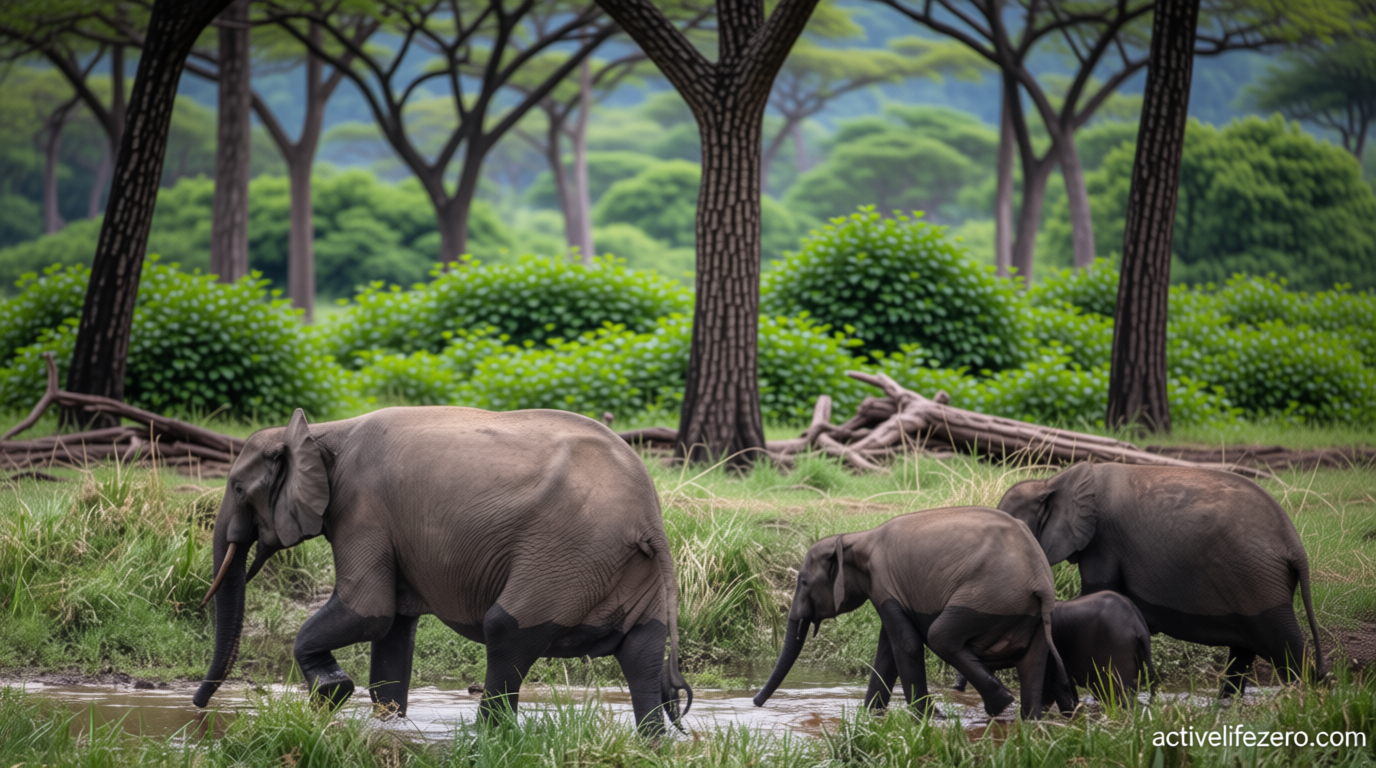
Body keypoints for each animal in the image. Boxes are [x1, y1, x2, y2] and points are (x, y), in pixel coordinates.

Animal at [192, 407, 691, 736]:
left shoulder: (362, 510)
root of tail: (650, 518)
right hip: (620, 563)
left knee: (506, 630)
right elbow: (393, 628)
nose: (198, 707)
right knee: (642, 650)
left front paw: (332, 692)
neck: (320, 431)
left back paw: (487, 737)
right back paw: (652, 741)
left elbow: (368, 612)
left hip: (567, 552)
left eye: (238, 487)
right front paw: (389, 726)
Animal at [753, 506, 1077, 720]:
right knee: (1033, 660)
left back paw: (999, 704)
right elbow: (887, 650)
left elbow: (905, 643)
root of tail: (1042, 580)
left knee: (940, 636)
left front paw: (928, 718)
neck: (855, 539)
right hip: (1028, 612)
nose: (754, 702)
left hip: (992, 596)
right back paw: (1029, 719)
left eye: (804, 583)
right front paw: (870, 715)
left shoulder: (883, 580)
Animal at [997, 462, 1325, 698]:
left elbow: (1099, 589)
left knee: (1286, 647)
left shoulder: (1103, 540)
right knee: (1243, 655)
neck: (1051, 482)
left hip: (1259, 584)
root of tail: (1295, 547)